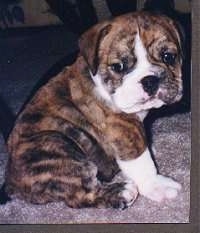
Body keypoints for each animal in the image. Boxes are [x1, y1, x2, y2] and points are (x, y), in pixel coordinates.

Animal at [4, 11, 183, 208]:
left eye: (168, 57)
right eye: (118, 67)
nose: (150, 80)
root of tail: (11, 182)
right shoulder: (123, 127)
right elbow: (140, 161)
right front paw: (156, 185)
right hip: (53, 142)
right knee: (81, 194)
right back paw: (120, 192)